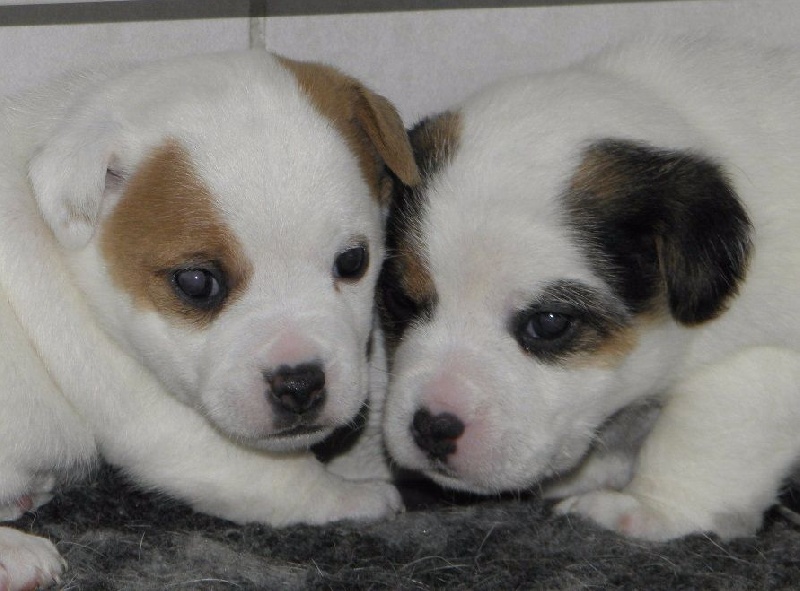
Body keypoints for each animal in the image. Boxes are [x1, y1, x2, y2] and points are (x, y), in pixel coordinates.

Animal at [0, 52, 422, 591]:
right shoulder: (167, 423)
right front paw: (355, 495)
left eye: (352, 262)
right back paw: (16, 554)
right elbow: (278, 477)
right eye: (198, 283)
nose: (300, 384)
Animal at [378, 39, 800, 544]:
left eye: (548, 324)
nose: (432, 427)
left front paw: (646, 509)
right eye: (400, 299)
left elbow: (695, 442)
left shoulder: (753, 366)